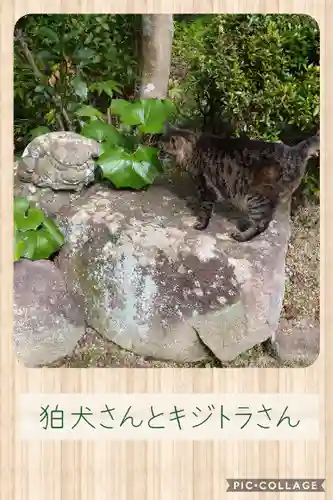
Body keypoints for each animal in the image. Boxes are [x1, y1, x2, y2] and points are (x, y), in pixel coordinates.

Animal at [158, 121, 320, 242]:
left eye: (162, 150)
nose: (157, 154)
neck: (193, 149)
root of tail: (295, 151)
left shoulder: (206, 187)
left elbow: (205, 210)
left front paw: (202, 224)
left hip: (256, 198)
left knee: (261, 224)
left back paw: (241, 236)